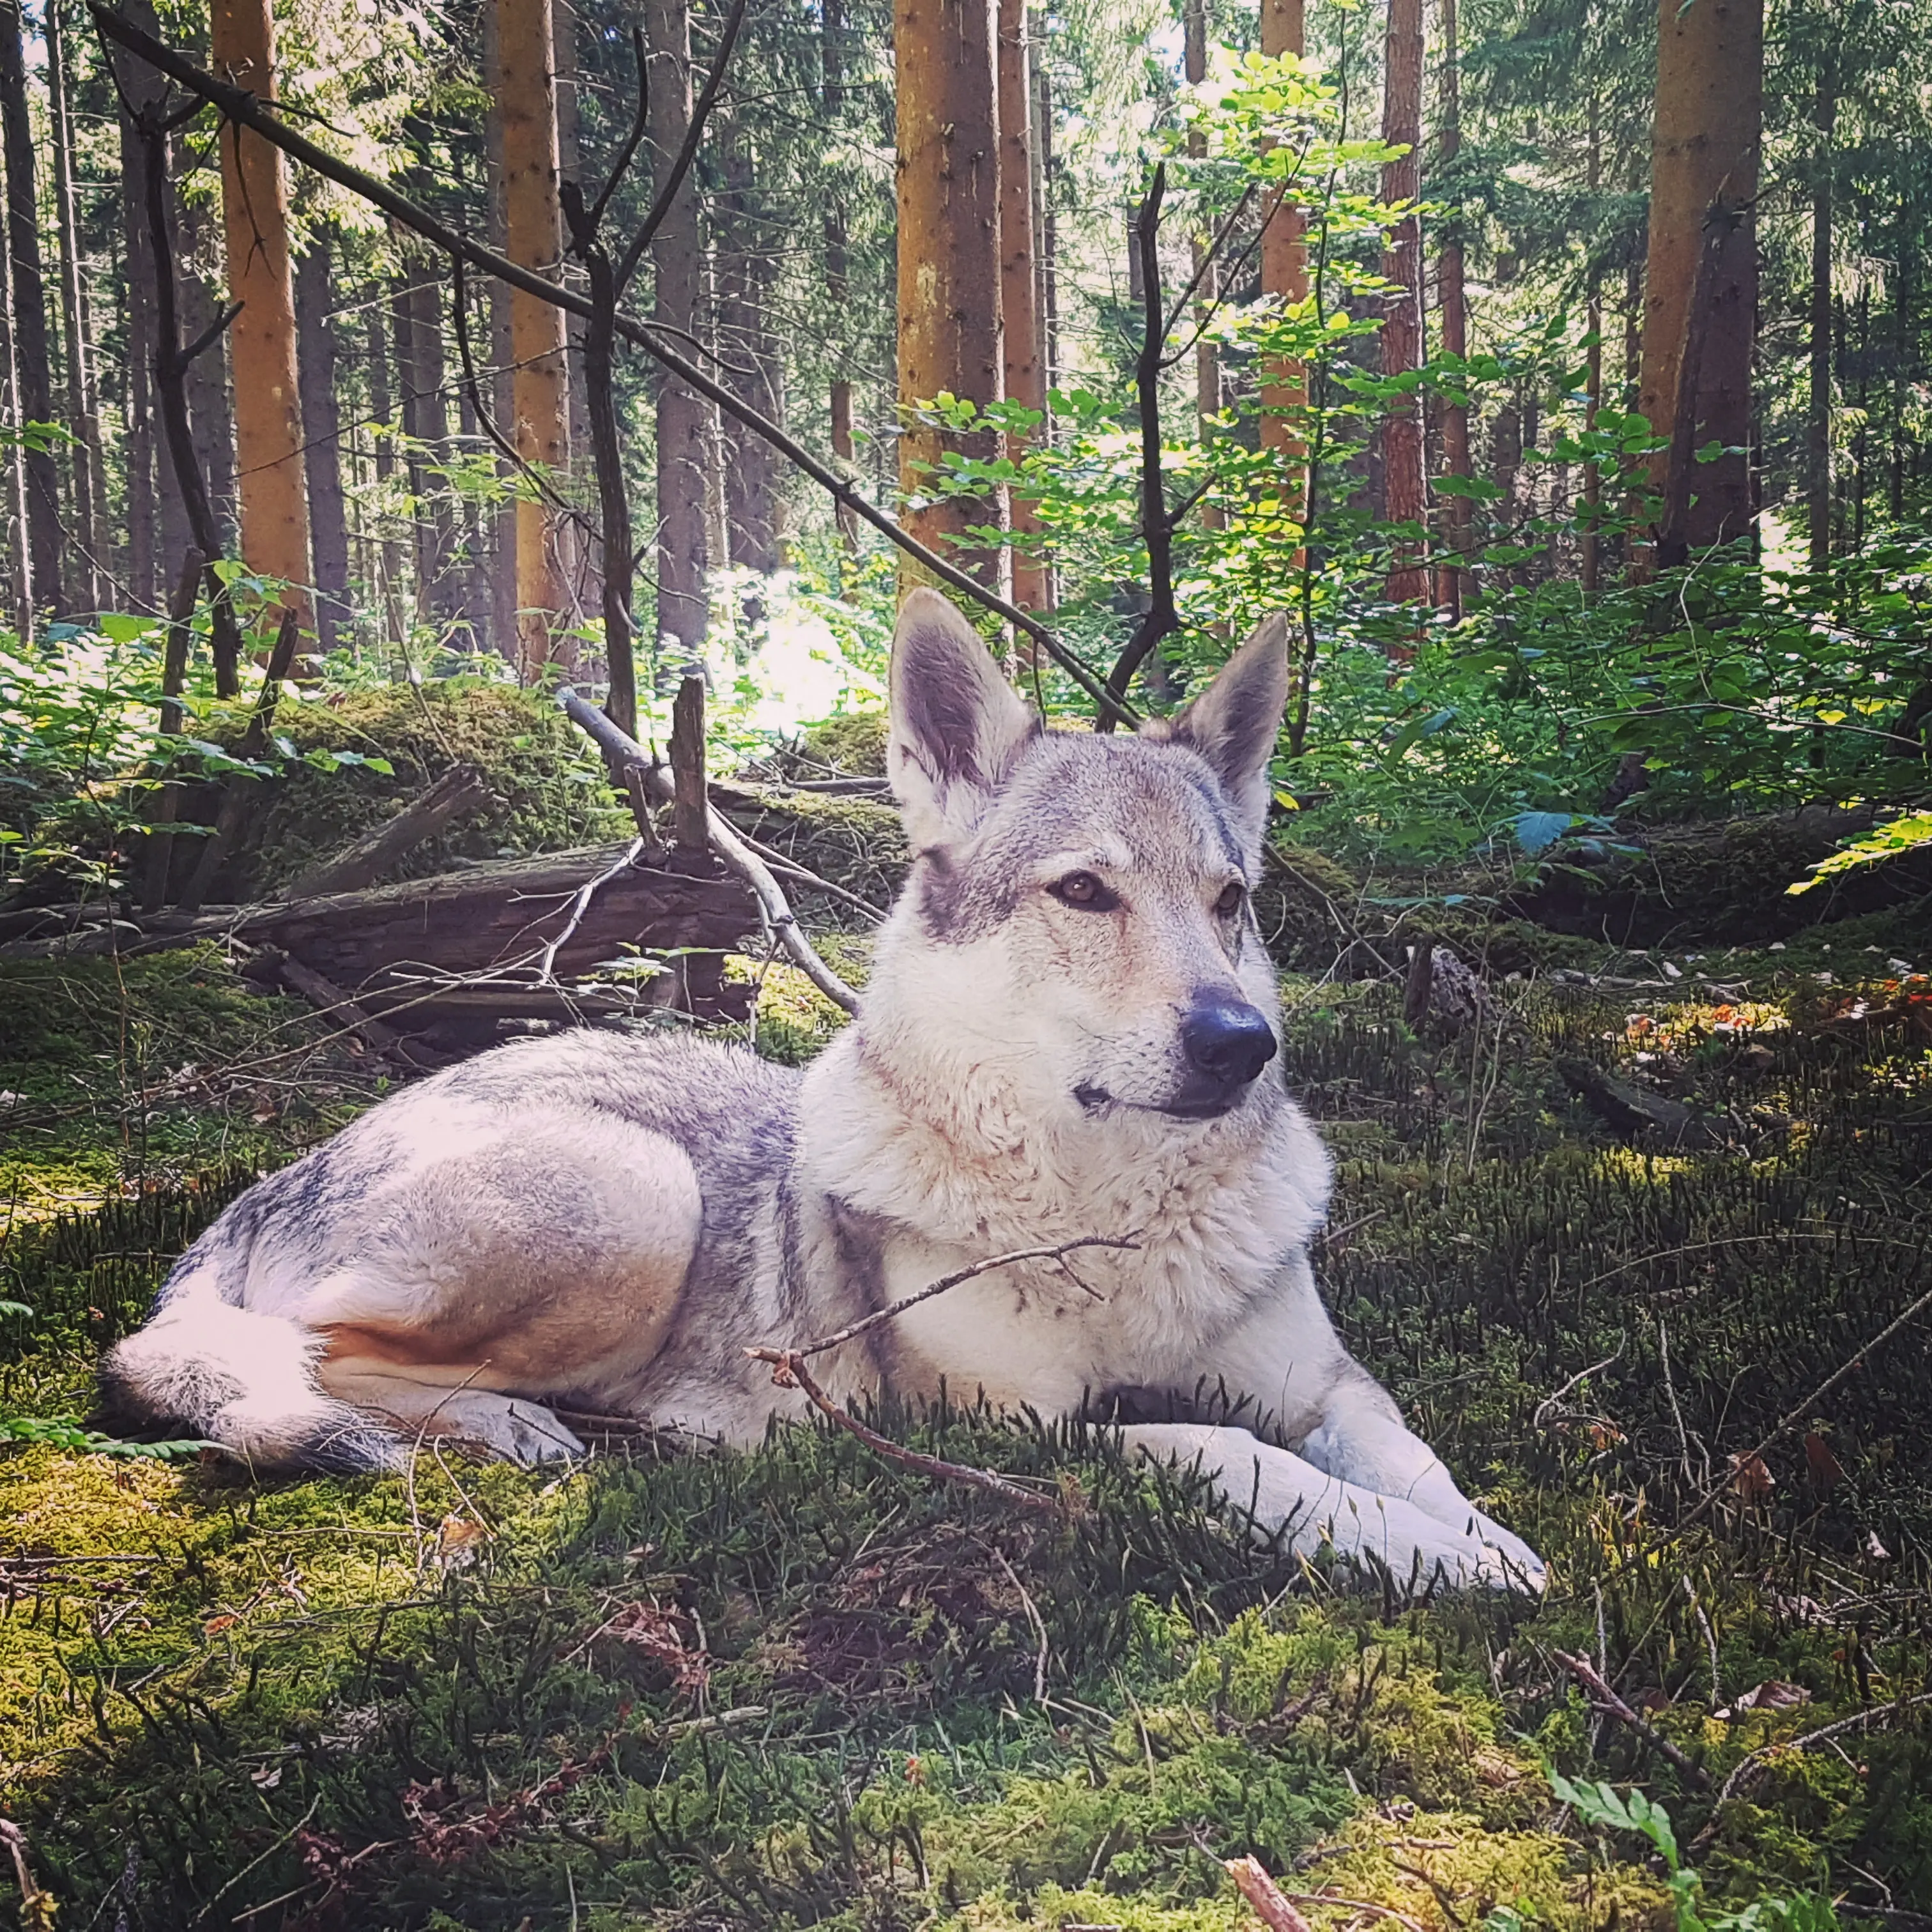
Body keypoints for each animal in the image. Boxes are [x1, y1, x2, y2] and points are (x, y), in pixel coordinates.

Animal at [109, 587, 1553, 1584]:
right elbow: (1230, 1451)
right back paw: (509, 1422)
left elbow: (1408, 1454)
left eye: (1229, 901)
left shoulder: (1328, 1385)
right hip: (637, 1197)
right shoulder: (1013, 1434)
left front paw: (1480, 1538)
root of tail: (275, 1180)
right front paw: (1422, 1553)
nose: (1238, 1041)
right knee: (300, 1359)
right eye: (1085, 892)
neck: (1112, 1221)